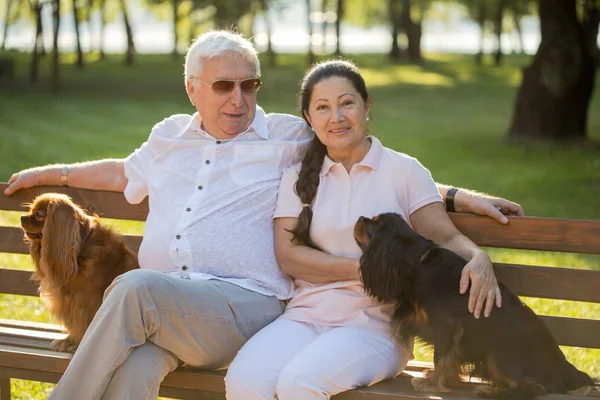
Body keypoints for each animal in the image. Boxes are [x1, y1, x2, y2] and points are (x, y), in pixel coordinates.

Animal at [20, 192, 139, 352]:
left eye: (38, 215)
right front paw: (68, 341)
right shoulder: (72, 302)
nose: (22, 217)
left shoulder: (86, 302)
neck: (80, 247)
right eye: (31, 210)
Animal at [354, 212, 592, 396]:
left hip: (499, 352)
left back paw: (490, 391)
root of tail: (559, 361)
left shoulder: (446, 325)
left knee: (530, 387)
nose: (360, 218)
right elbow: (448, 359)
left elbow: (440, 357)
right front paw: (444, 379)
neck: (419, 262)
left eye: (373, 225)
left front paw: (430, 383)